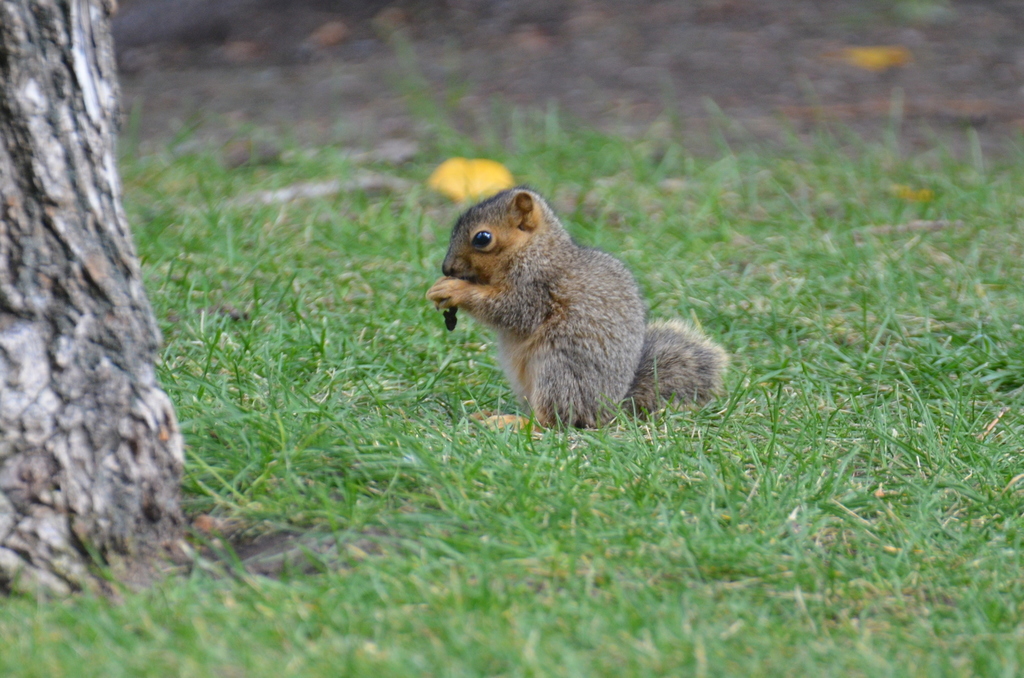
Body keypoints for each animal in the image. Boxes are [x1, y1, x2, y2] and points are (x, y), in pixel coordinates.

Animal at [423, 186, 729, 430]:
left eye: (482, 238)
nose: (447, 269)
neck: (535, 250)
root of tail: (608, 409)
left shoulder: (536, 288)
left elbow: (512, 310)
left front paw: (454, 289)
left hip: (558, 369)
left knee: (554, 419)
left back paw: (513, 421)